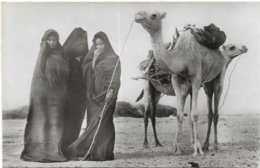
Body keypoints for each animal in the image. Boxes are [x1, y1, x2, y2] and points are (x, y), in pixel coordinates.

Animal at [134, 10, 248, 155]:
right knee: (147, 114)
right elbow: (181, 114)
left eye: (154, 14)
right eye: (232, 47)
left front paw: (194, 147)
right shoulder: (177, 81)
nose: (244, 47)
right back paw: (147, 144)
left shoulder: (195, 82)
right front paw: (181, 147)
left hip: (214, 81)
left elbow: (191, 114)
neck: (182, 57)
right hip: (149, 86)